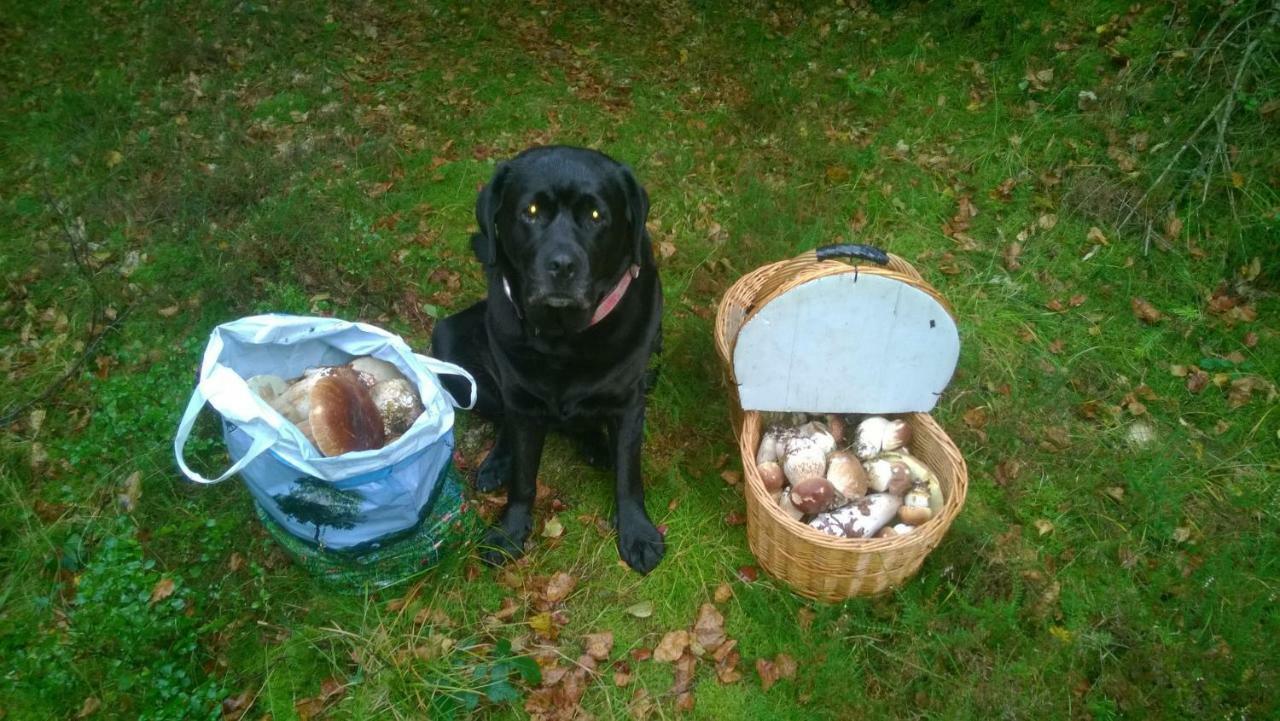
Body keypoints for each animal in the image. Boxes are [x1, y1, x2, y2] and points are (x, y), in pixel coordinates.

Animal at [432, 146, 665, 576]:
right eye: (531, 211)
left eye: (596, 215)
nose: (562, 265)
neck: (564, 341)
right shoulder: (522, 402)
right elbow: (524, 478)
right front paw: (510, 531)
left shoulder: (629, 401)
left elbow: (629, 475)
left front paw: (638, 533)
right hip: (450, 343)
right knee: (504, 423)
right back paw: (496, 462)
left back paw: (596, 446)